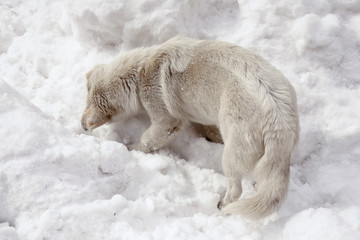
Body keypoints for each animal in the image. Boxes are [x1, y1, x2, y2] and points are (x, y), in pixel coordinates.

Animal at [82, 36, 300, 219]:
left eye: (87, 102)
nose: (82, 125)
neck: (141, 72)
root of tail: (279, 122)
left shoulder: (166, 120)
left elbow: (147, 140)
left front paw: (130, 150)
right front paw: (210, 135)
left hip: (232, 155)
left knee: (236, 189)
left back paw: (223, 206)